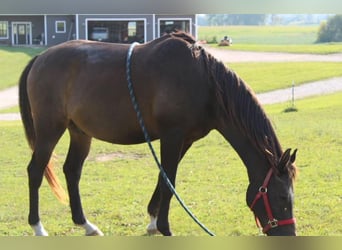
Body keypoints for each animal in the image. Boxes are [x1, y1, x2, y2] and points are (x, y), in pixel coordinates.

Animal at [18, 31, 296, 236]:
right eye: (282, 196)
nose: (288, 235)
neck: (202, 81)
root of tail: (40, 58)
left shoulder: (186, 139)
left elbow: (164, 178)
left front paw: (153, 222)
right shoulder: (172, 136)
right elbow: (169, 179)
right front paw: (164, 228)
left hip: (79, 132)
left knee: (72, 170)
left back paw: (86, 225)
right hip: (49, 128)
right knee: (35, 171)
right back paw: (38, 227)